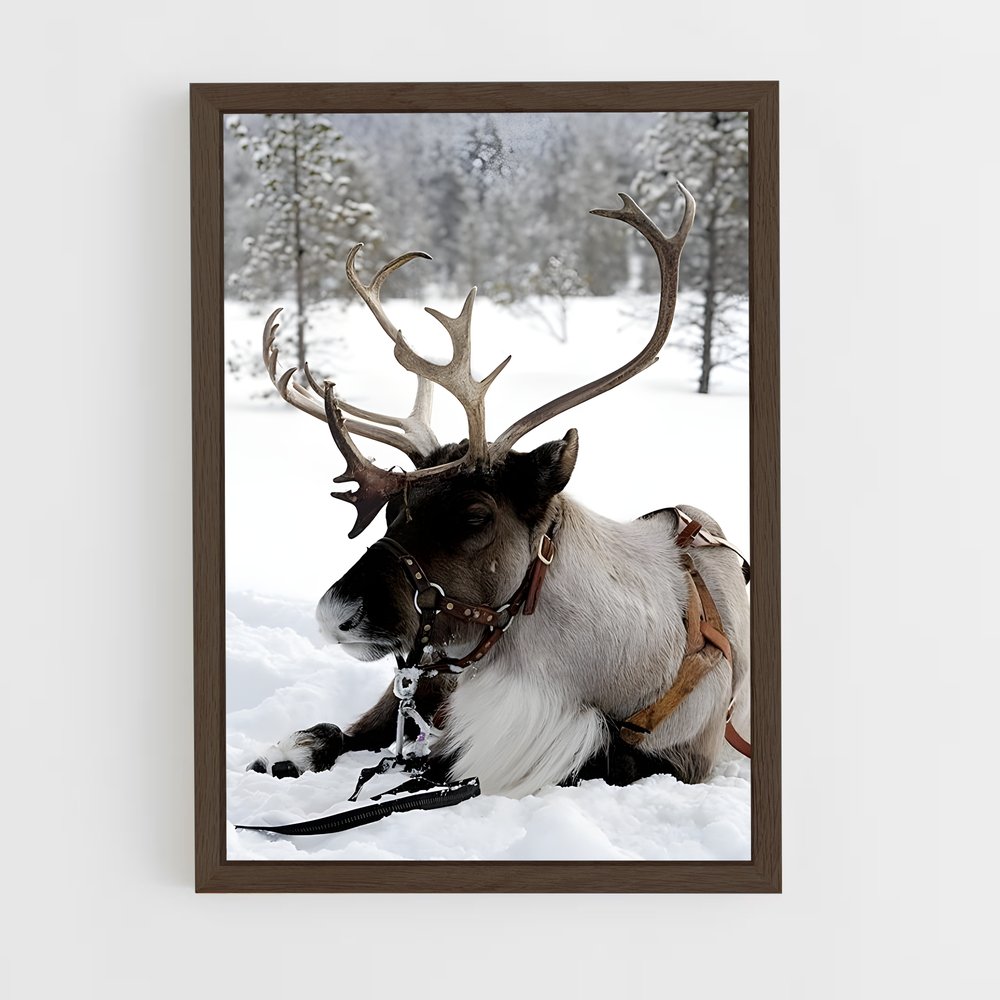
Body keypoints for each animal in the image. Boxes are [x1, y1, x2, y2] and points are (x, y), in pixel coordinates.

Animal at [246, 185, 751, 799]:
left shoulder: (685, 759)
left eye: (474, 515)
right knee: (353, 727)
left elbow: (595, 756)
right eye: (392, 512)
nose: (333, 614)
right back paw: (286, 753)